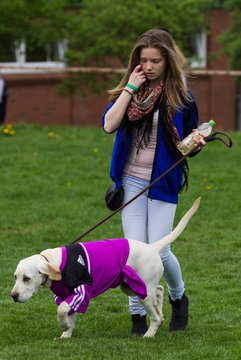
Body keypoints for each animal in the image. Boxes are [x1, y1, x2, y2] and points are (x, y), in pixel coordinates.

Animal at [11, 198, 200, 338]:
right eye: (15, 277)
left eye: (27, 278)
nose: (13, 296)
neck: (56, 263)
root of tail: (152, 247)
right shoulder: (66, 295)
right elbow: (68, 313)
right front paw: (66, 334)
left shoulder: (81, 290)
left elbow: (62, 310)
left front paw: (63, 326)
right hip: (130, 286)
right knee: (159, 290)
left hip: (142, 291)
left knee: (155, 314)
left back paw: (149, 334)